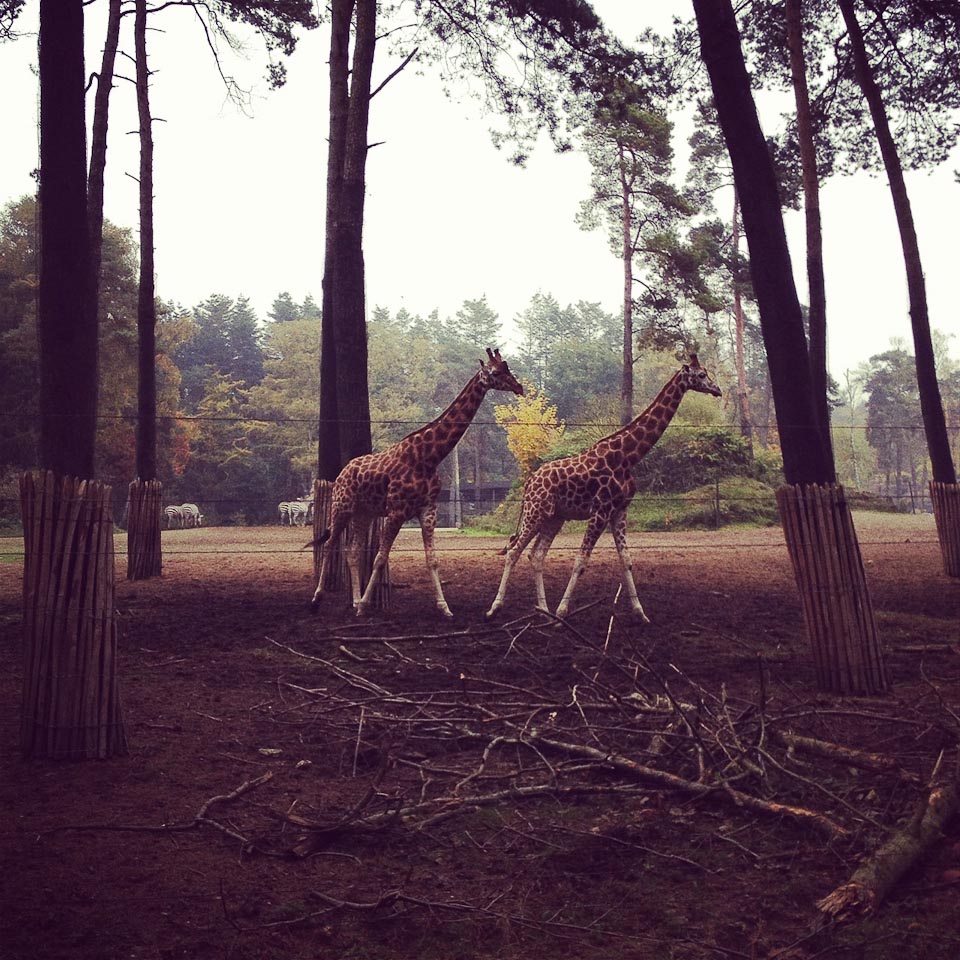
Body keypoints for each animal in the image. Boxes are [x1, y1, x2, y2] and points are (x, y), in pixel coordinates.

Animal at [312, 348, 520, 620]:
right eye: (495, 372)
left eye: (508, 367)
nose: (518, 387)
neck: (428, 457)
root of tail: (342, 473)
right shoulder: (396, 511)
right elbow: (381, 557)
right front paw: (366, 605)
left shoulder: (427, 509)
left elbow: (432, 559)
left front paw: (445, 607)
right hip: (341, 507)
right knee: (329, 545)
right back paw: (318, 598)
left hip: (364, 513)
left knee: (352, 551)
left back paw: (354, 601)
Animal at [488, 358, 720, 624]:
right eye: (701, 375)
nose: (717, 390)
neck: (628, 455)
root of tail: (529, 482)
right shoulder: (600, 509)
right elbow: (581, 560)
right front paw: (563, 610)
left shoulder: (619, 510)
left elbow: (626, 560)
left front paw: (640, 613)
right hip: (535, 512)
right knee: (513, 551)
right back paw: (496, 608)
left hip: (554, 517)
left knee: (536, 555)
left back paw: (545, 611)